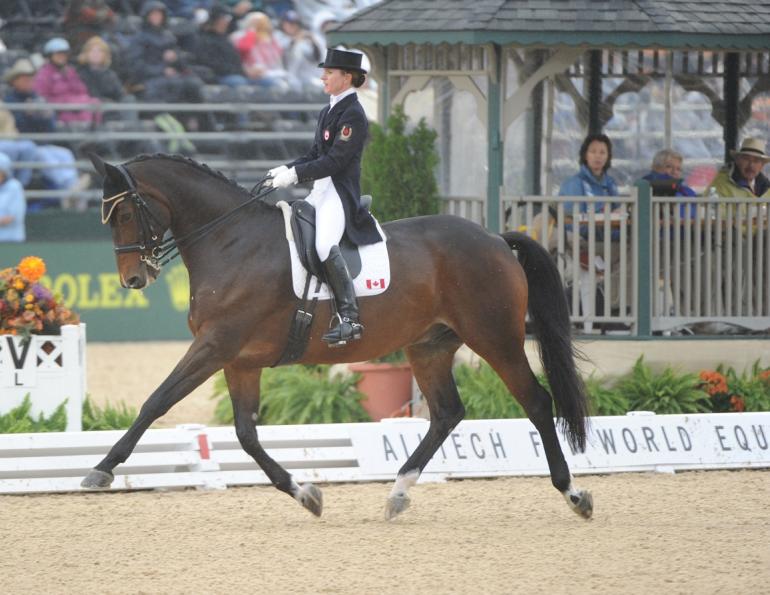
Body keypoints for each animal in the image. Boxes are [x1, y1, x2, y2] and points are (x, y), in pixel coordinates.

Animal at [84, 153, 593, 521]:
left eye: (125, 212)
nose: (133, 279)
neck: (232, 242)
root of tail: (494, 238)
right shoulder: (239, 360)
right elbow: (246, 434)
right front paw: (307, 494)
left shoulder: (214, 347)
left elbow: (156, 402)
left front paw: (101, 470)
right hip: (428, 346)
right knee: (447, 413)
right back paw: (398, 494)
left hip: (495, 338)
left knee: (536, 402)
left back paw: (574, 494)